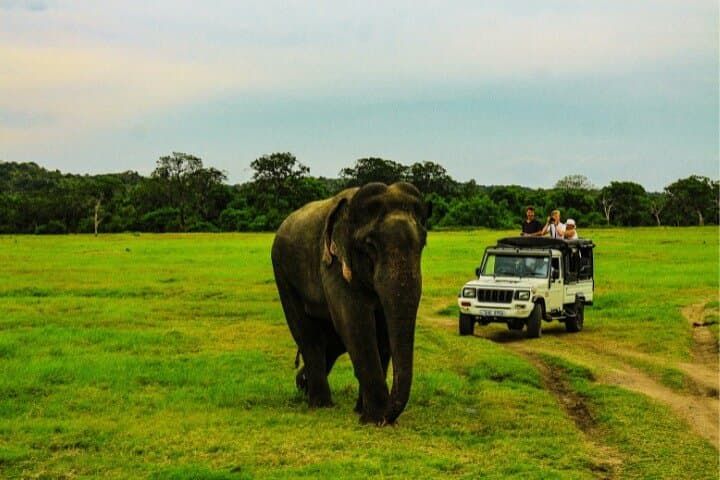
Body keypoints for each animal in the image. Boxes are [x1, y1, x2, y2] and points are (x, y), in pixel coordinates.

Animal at [271, 182, 429, 425]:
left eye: (423, 244)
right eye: (370, 245)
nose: (388, 416)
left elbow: (382, 329)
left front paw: (366, 412)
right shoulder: (333, 265)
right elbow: (354, 321)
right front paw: (375, 419)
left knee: (330, 342)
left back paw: (304, 385)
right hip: (282, 273)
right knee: (308, 334)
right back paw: (320, 404)